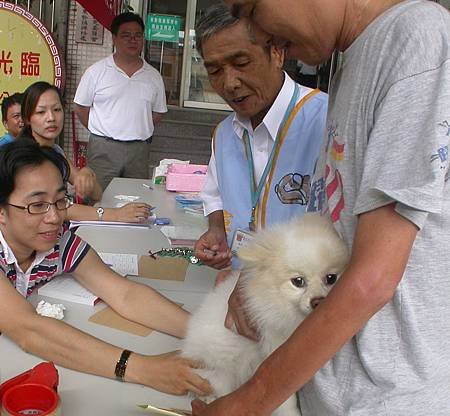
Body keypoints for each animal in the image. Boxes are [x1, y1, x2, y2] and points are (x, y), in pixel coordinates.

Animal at [181, 214, 350, 416]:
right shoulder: (275, 349)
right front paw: (290, 412)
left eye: (331, 278)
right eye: (298, 281)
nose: (317, 301)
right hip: (222, 368)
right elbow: (284, 398)